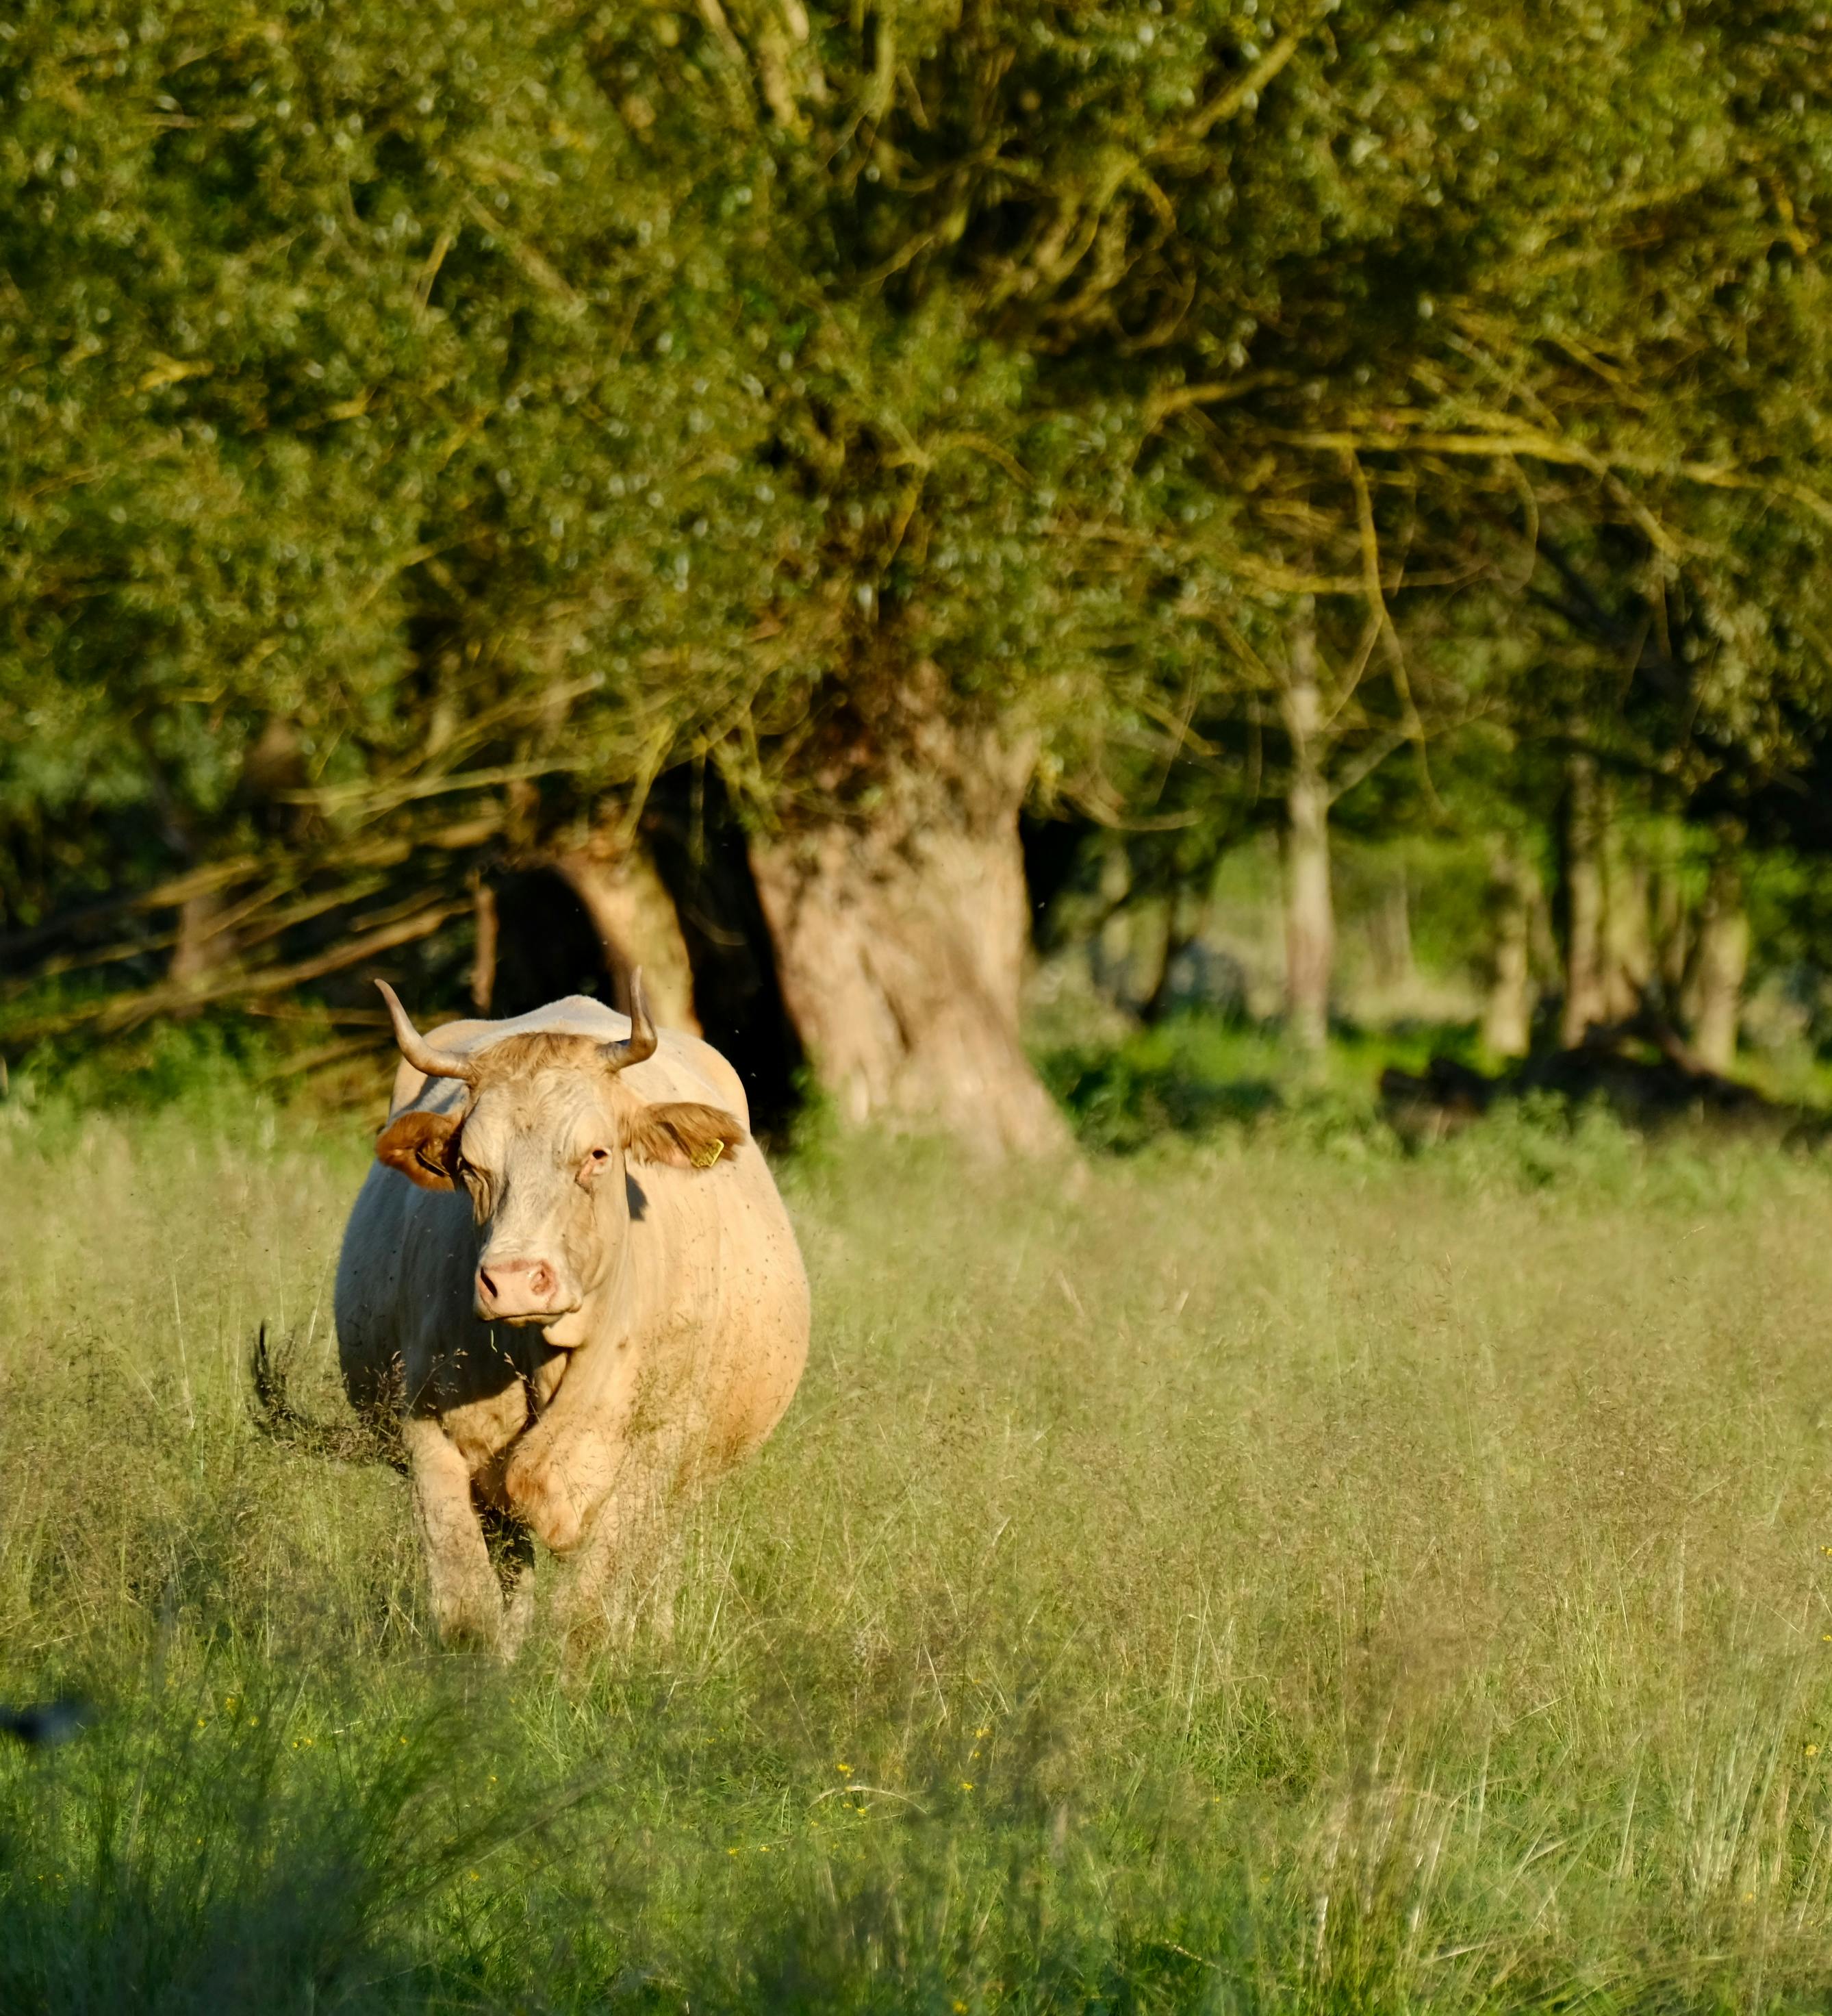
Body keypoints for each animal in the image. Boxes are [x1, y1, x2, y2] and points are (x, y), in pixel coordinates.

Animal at [333, 974, 809, 1650]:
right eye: (469, 1166)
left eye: (598, 1154)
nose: (513, 1281)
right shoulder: (430, 1433)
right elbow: (467, 1607)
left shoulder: (656, 1444)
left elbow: (589, 1611)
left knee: (657, 1562)